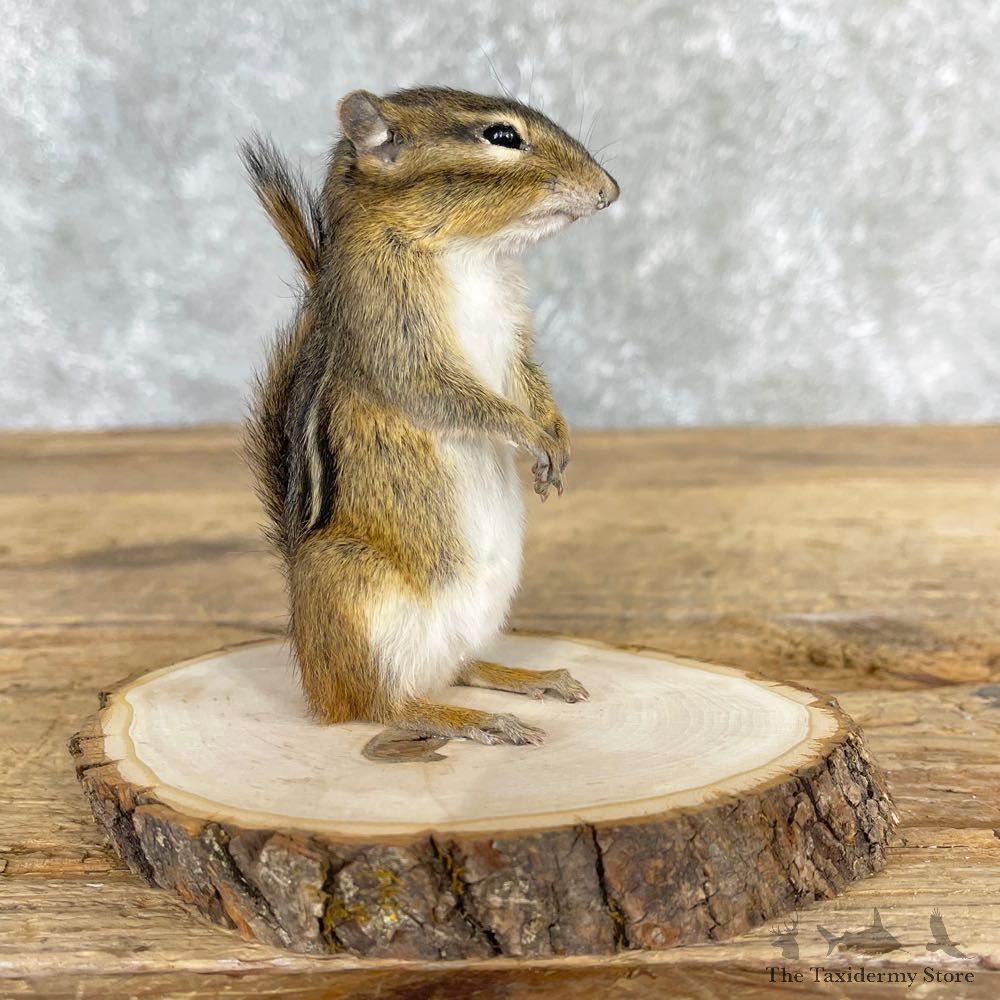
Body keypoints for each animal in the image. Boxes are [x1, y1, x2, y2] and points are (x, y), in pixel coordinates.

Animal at [241, 87, 618, 746]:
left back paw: (529, 680)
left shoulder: (515, 346)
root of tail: (313, 672)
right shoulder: (399, 344)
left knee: (460, 667)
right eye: (502, 137)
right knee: (384, 706)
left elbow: (530, 382)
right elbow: (454, 398)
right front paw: (531, 437)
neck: (473, 255)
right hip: (356, 595)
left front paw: (559, 440)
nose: (609, 190)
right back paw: (476, 720)